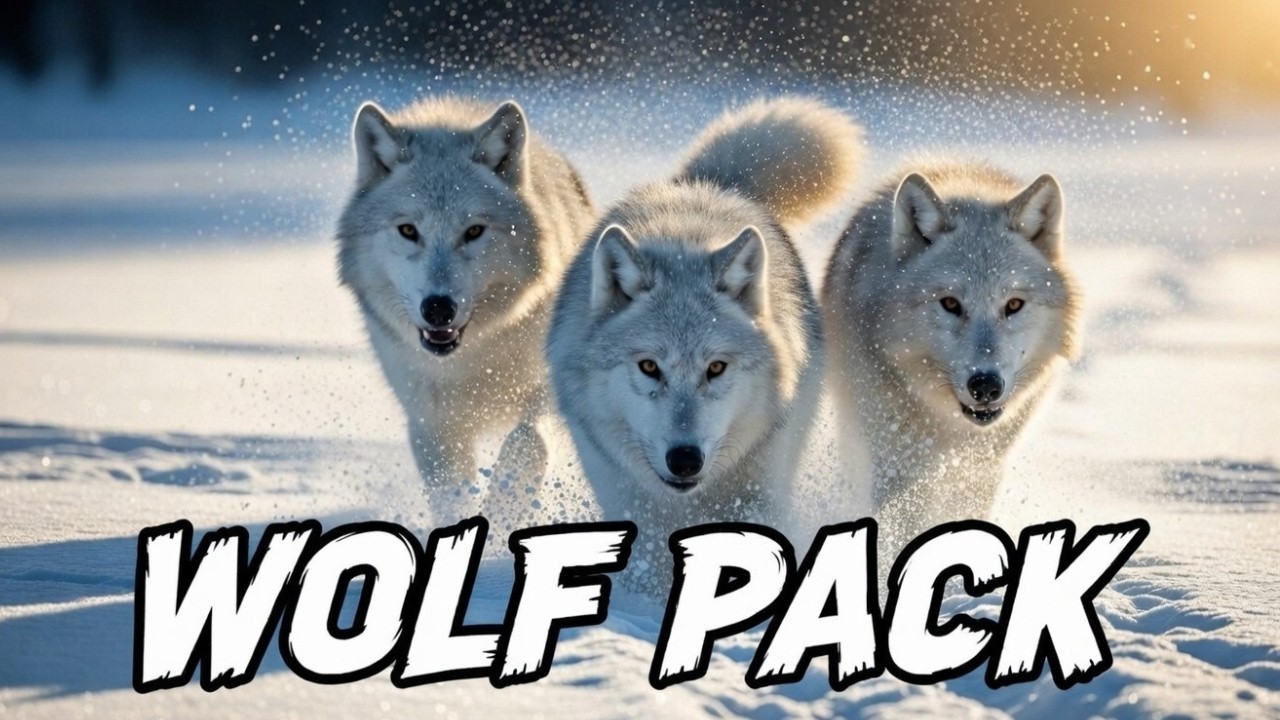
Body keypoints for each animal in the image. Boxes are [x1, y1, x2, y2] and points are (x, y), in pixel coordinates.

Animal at [337, 97, 595, 502]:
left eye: (474, 231)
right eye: (408, 230)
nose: (438, 309)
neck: (473, 358)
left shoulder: (549, 393)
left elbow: (527, 443)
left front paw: (502, 508)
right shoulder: (431, 424)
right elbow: (450, 492)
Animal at [822, 161, 1082, 542]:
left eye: (1014, 304)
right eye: (950, 303)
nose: (985, 386)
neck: (950, 426)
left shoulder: (980, 470)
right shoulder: (898, 467)